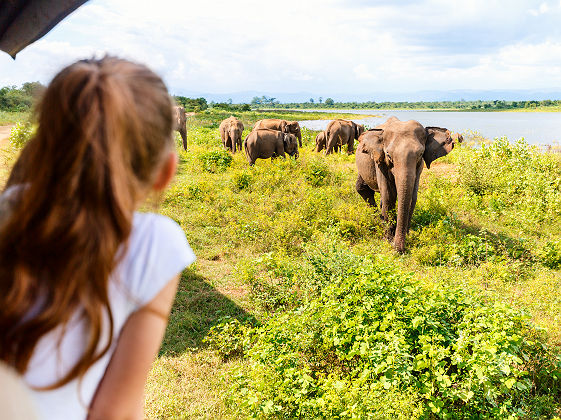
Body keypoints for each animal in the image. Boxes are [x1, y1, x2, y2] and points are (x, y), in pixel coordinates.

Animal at [354, 116, 460, 251]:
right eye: (388, 155)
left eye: (420, 154)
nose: (399, 250)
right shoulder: (380, 162)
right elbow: (389, 195)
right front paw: (388, 239)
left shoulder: (419, 166)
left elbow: (412, 197)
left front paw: (406, 236)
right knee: (363, 189)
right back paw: (378, 221)